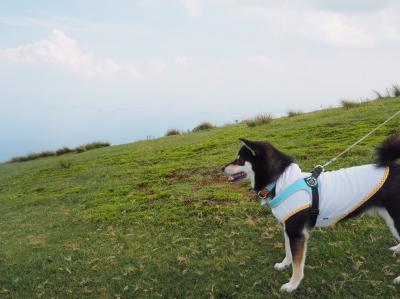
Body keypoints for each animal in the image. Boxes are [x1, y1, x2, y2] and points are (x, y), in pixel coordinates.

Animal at [223, 135, 400, 292]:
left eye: (239, 160)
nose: (221, 168)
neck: (281, 181)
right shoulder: (288, 229)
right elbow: (288, 252)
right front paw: (284, 264)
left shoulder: (297, 234)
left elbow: (297, 264)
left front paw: (292, 285)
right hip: (390, 219)